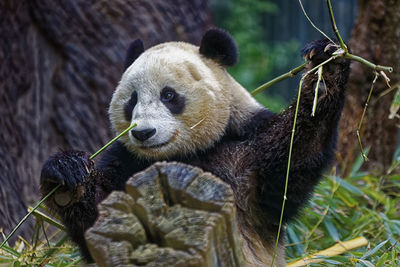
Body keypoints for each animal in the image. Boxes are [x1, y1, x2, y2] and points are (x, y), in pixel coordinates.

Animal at [39, 28, 348, 266]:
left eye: (169, 95)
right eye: (132, 99)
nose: (143, 133)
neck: (183, 155)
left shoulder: (248, 150)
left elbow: (295, 156)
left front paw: (326, 64)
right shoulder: (126, 161)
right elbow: (98, 220)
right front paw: (66, 173)